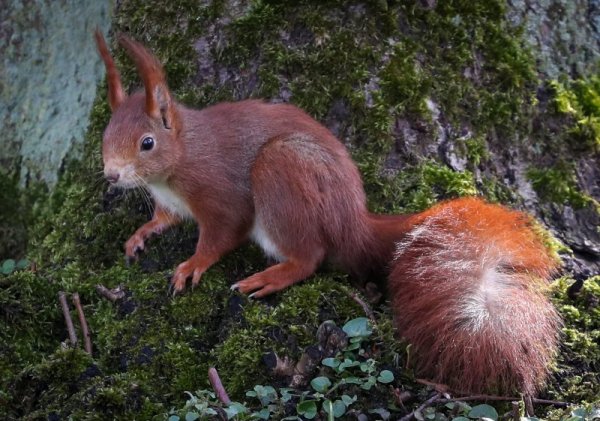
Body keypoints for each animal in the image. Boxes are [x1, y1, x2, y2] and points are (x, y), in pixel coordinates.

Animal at [95, 32, 564, 394]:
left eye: (147, 143)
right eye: (105, 134)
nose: (111, 176)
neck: (178, 161)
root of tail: (354, 222)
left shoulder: (218, 194)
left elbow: (221, 234)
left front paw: (193, 263)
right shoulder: (170, 200)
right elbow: (165, 218)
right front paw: (142, 233)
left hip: (282, 171)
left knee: (309, 257)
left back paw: (271, 276)